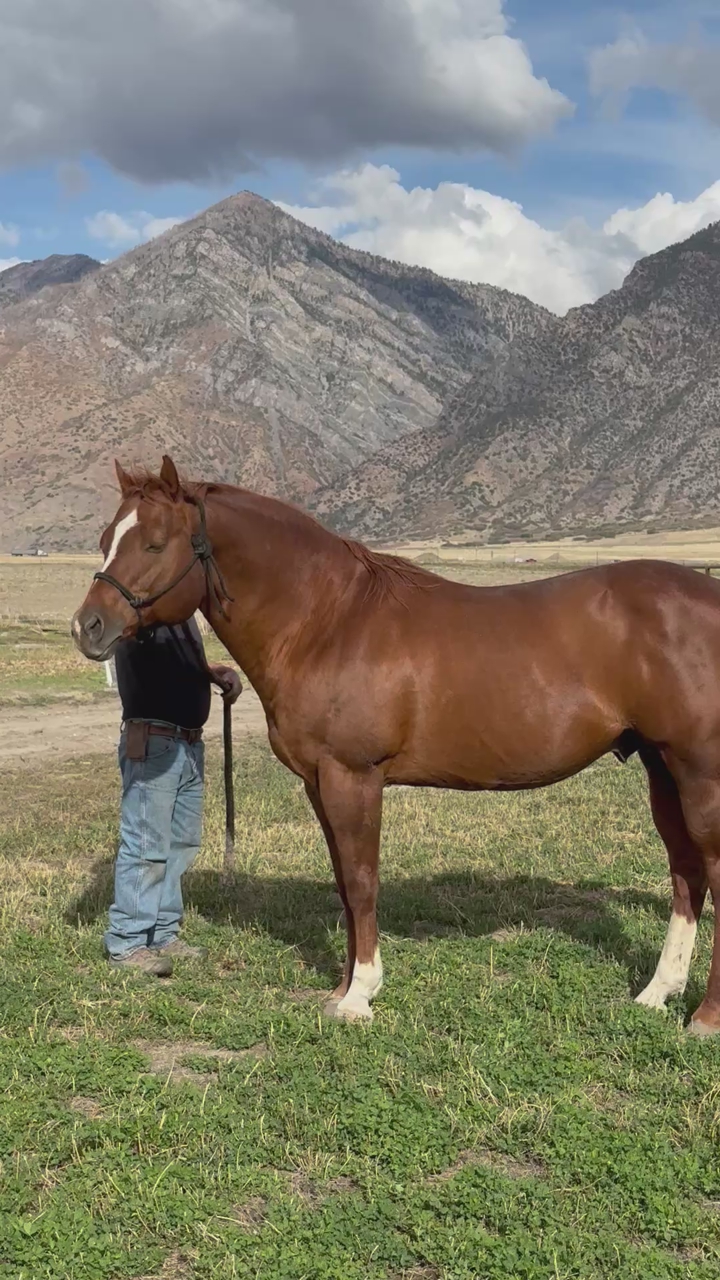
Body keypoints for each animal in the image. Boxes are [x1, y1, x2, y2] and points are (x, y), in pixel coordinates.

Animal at [71, 455, 720, 1034]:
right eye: (105, 538)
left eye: (155, 544)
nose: (87, 627)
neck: (327, 623)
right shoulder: (320, 782)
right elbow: (342, 881)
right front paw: (339, 991)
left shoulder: (353, 777)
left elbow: (362, 881)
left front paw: (360, 996)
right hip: (663, 769)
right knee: (686, 875)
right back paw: (656, 993)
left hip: (699, 775)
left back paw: (703, 1019)